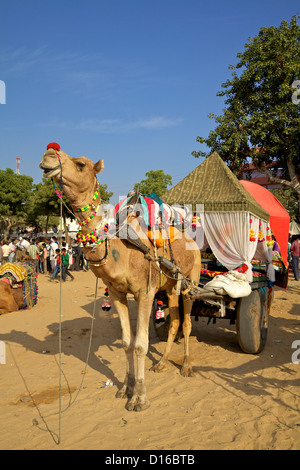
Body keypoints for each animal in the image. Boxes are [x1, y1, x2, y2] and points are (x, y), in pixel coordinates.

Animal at [38, 144, 200, 412]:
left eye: (81, 164)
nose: (49, 155)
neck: (119, 248)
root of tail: (194, 241)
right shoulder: (116, 293)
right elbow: (126, 342)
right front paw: (125, 388)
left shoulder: (145, 292)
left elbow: (141, 344)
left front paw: (140, 398)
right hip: (170, 285)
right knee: (175, 321)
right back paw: (162, 363)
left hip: (191, 279)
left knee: (186, 322)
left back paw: (187, 366)